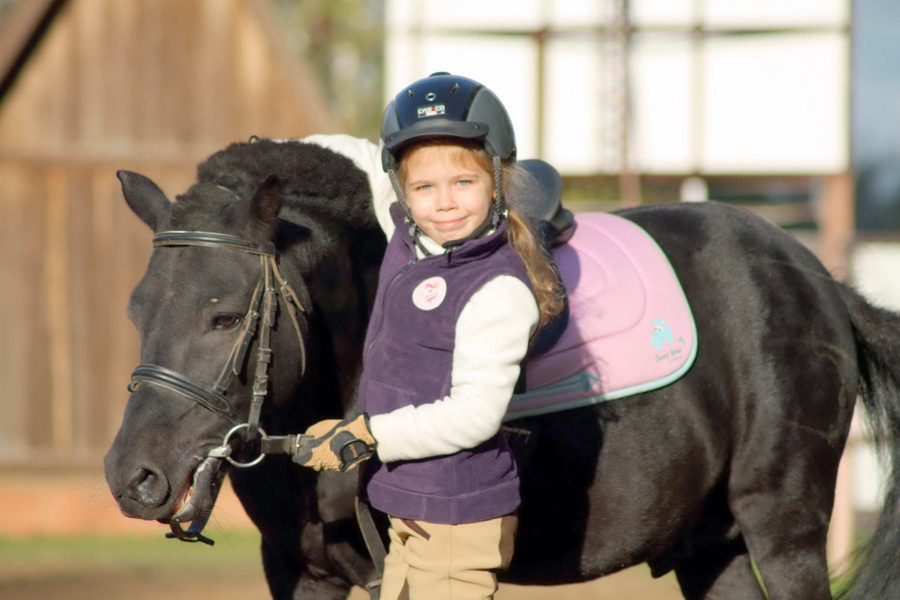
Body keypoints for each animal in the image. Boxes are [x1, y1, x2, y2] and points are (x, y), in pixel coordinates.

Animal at [105, 139, 900, 600]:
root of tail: (816, 280)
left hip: (783, 532)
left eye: (223, 316)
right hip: (715, 546)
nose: (131, 476)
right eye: (137, 309)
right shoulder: (301, 575)